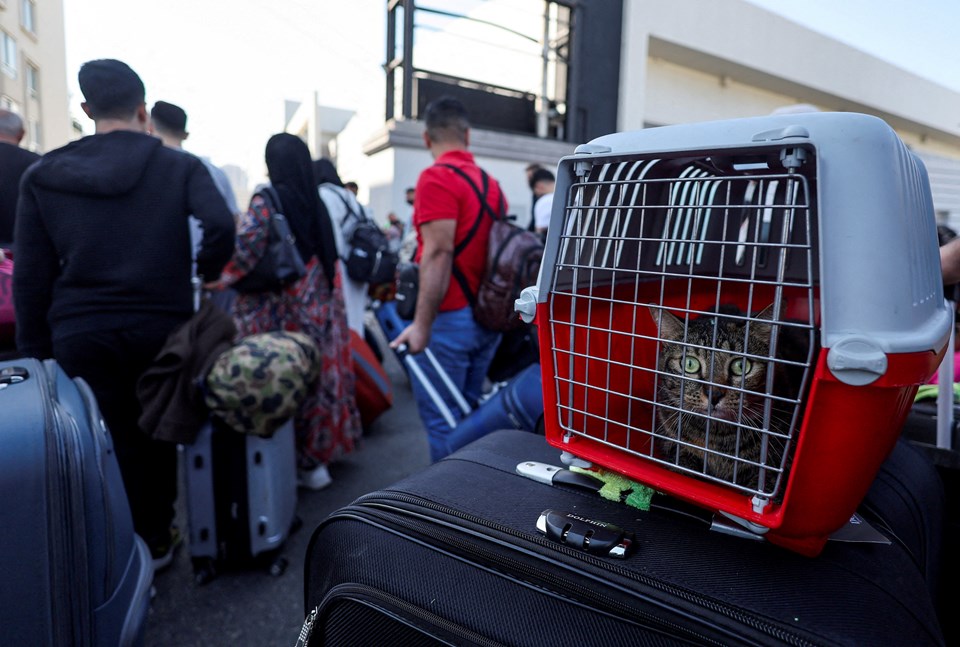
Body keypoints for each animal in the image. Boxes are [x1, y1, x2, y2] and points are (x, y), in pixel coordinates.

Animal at [528, 111, 948, 556]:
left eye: (741, 366)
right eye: (690, 363)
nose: (714, 393)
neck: (717, 439)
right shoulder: (671, 443)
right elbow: (687, 463)